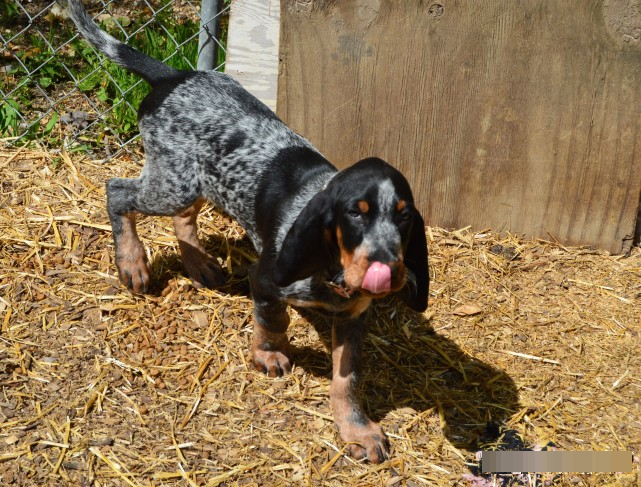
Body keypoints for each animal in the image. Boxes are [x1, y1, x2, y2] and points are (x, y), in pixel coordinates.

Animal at [67, 0, 428, 466]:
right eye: (355, 214)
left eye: (404, 218)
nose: (388, 267)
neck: (330, 271)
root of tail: (174, 76)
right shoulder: (267, 279)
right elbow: (273, 319)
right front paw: (269, 354)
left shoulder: (352, 318)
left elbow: (346, 380)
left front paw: (357, 429)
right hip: (173, 183)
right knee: (117, 191)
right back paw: (132, 263)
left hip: (200, 182)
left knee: (182, 218)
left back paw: (199, 265)